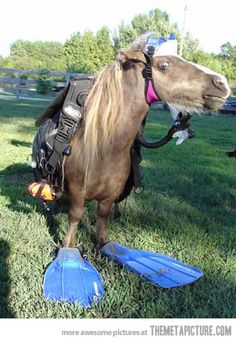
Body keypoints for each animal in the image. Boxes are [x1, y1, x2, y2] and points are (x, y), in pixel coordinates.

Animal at [37, 38, 230, 251]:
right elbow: (75, 216)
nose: (222, 84)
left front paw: (101, 245)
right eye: (164, 65)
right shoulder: (78, 192)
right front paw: (67, 245)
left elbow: (102, 219)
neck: (106, 150)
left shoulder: (109, 197)